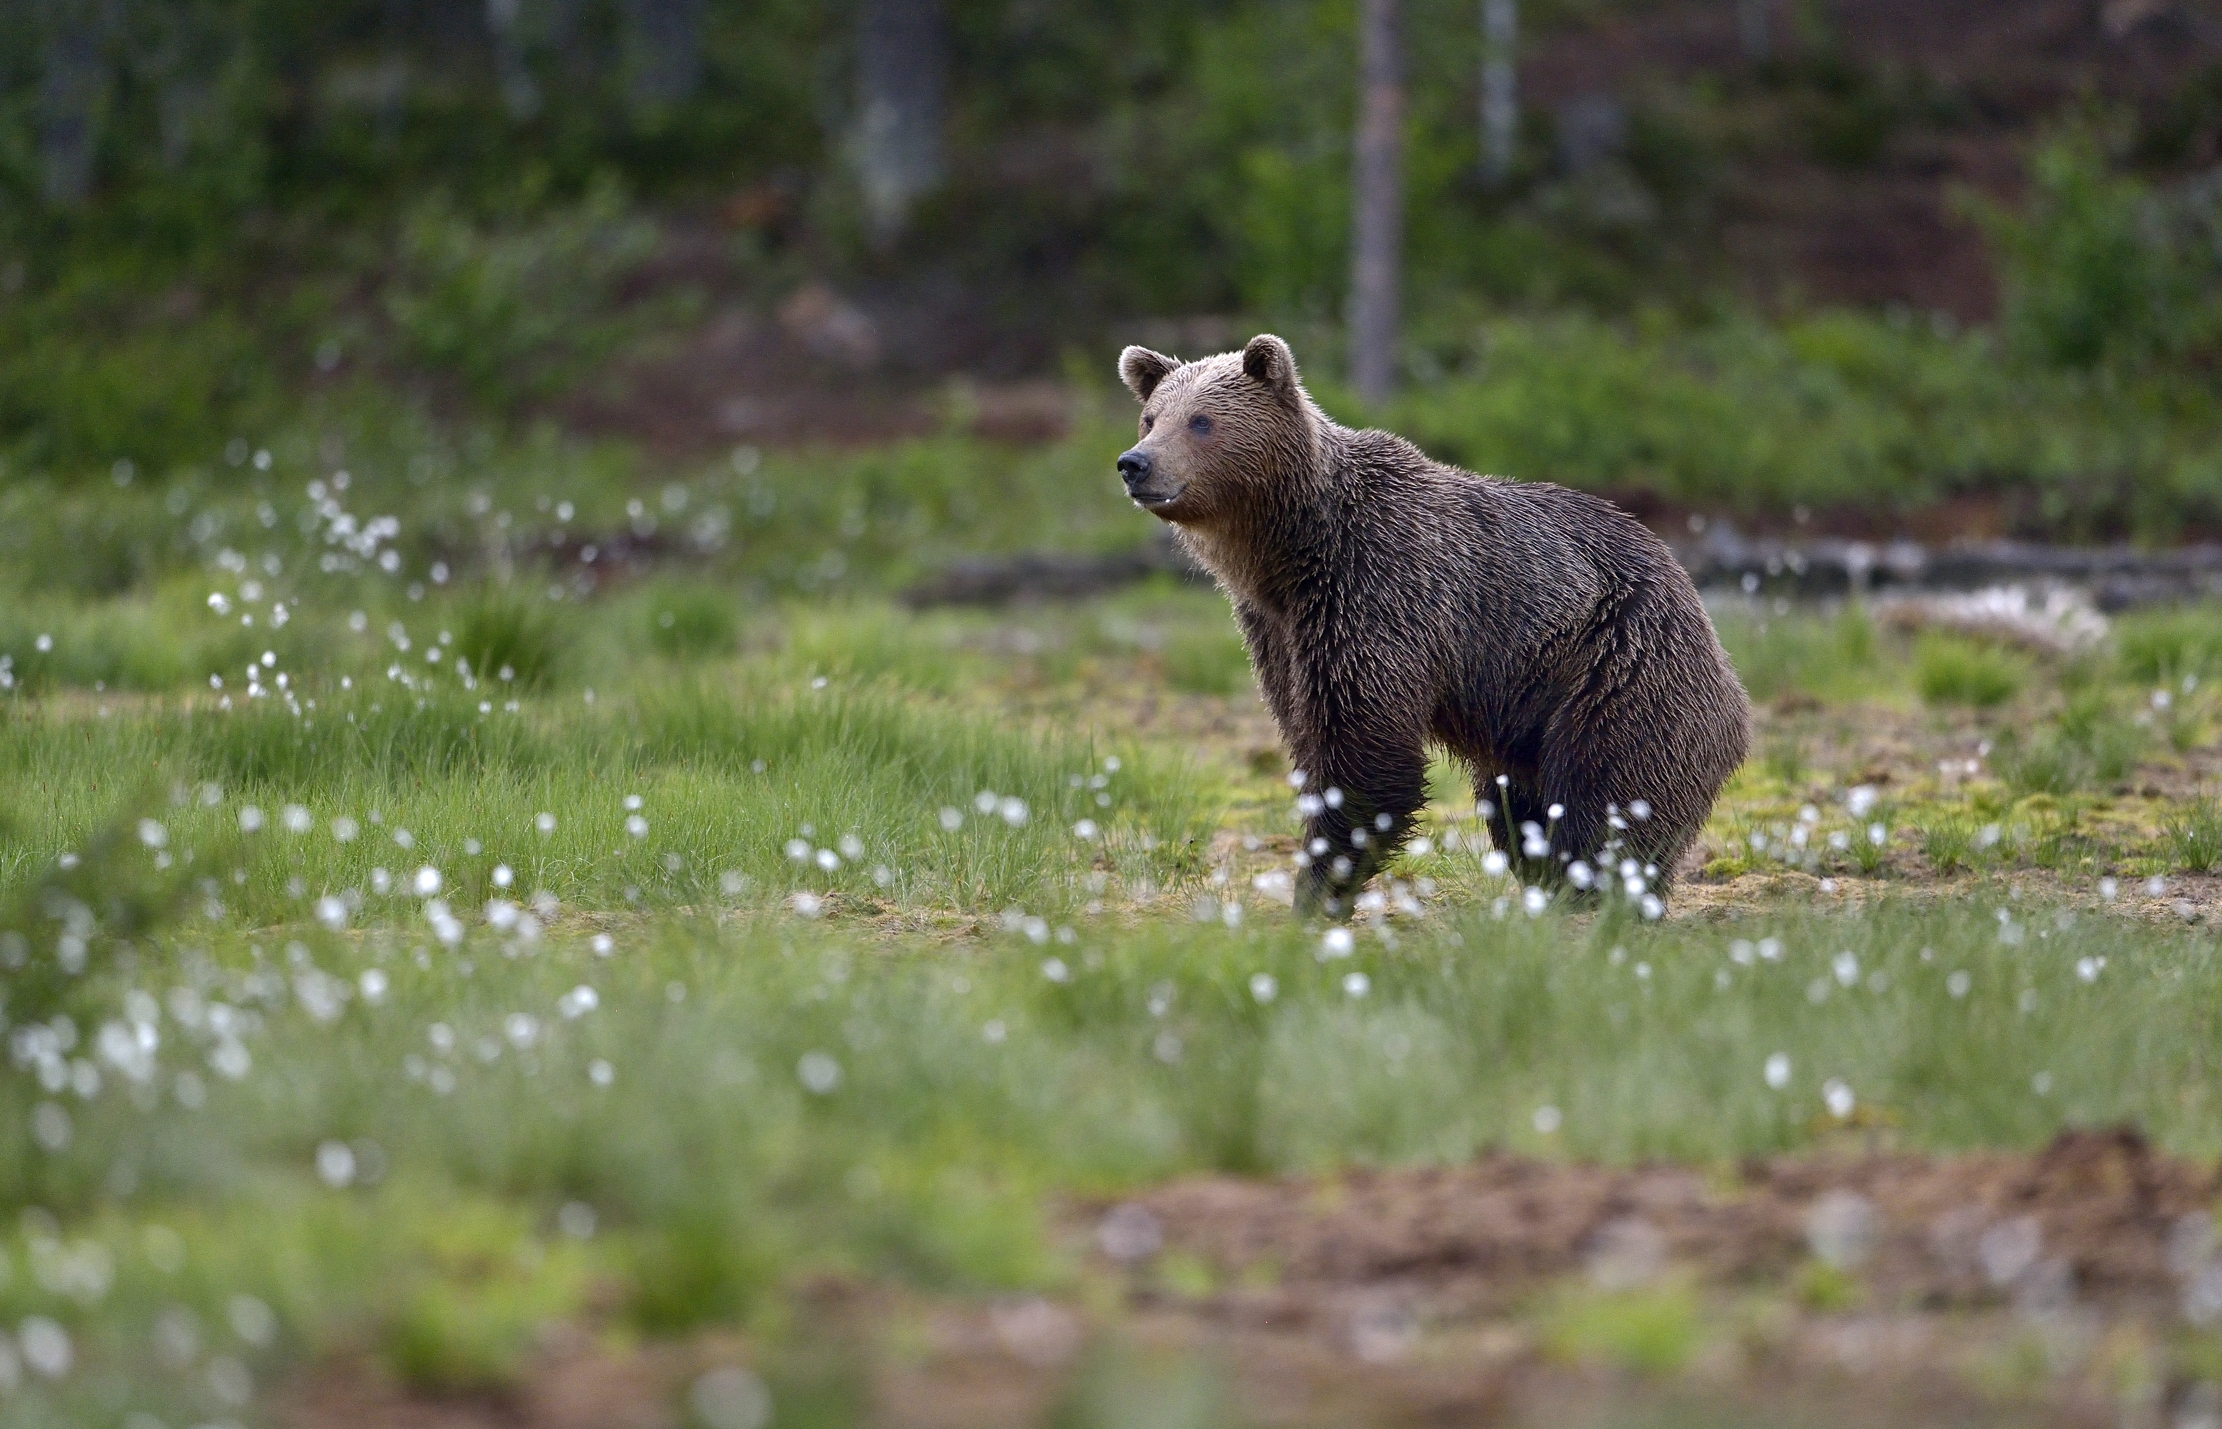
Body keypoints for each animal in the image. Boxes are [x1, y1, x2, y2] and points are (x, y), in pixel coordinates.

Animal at [1114, 333, 1750, 915]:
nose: (1134, 463)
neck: (1288, 551)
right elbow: (1307, 730)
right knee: (1518, 806)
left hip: (1619, 666)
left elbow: (1367, 754)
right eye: (1150, 417)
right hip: (1532, 710)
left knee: (1608, 794)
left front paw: (1317, 888)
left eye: (1200, 421)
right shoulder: (1279, 630)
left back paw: (1591, 892)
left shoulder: (1375, 591)